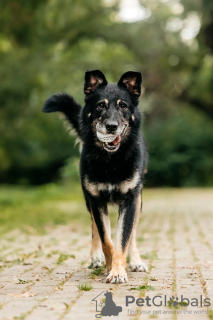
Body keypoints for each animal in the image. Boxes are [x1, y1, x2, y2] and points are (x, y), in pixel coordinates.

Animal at [41, 70, 148, 282]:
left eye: (123, 105)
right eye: (100, 105)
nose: (111, 126)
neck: (111, 160)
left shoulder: (130, 201)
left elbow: (123, 238)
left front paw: (118, 270)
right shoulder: (96, 200)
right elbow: (106, 239)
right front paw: (110, 265)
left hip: (138, 199)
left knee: (132, 233)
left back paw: (135, 261)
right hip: (88, 200)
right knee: (94, 228)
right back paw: (96, 258)